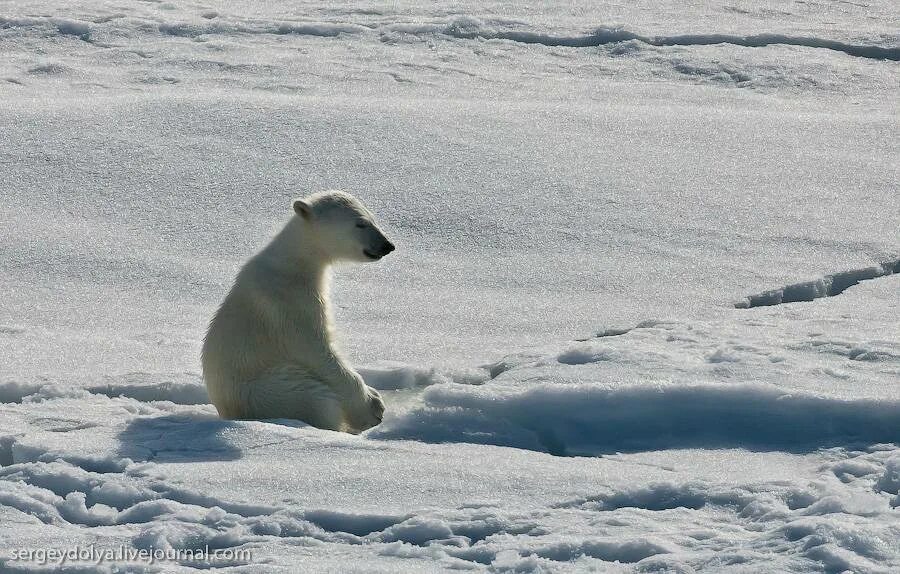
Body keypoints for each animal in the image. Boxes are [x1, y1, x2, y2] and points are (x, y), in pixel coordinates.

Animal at [204, 191, 394, 434]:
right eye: (360, 223)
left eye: (372, 218)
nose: (387, 245)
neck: (293, 263)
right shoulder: (289, 304)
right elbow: (317, 350)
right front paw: (372, 408)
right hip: (268, 392)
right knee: (317, 398)